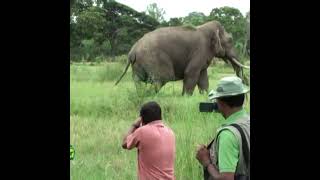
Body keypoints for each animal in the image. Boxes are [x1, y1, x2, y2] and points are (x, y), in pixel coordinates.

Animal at [115, 20, 250, 95]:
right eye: (230, 40)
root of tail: (132, 51)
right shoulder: (200, 50)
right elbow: (190, 74)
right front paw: (186, 97)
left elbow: (203, 79)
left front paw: (205, 96)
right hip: (152, 59)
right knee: (162, 79)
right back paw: (149, 96)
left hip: (138, 63)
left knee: (138, 80)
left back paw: (142, 95)